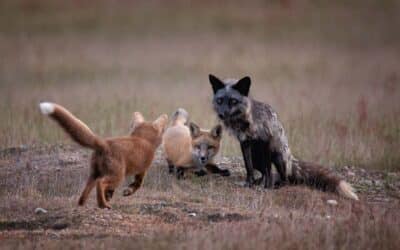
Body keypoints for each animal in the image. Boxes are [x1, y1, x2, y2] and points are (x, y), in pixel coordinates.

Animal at [39, 102, 167, 209]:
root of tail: (104, 143)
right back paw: (103, 205)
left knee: (87, 190)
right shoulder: (142, 169)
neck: (142, 139)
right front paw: (127, 192)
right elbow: (138, 184)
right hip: (117, 175)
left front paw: (109, 195)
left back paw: (83, 204)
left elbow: (113, 189)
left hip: (95, 173)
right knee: (101, 183)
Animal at [209, 73, 360, 200]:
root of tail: (291, 158)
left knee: (285, 179)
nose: (221, 114)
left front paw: (267, 188)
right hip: (257, 158)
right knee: (263, 172)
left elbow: (269, 171)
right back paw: (259, 182)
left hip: (278, 157)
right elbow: (248, 167)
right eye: (220, 100)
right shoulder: (244, 143)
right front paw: (249, 183)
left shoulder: (266, 142)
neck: (246, 121)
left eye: (233, 101)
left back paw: (276, 185)